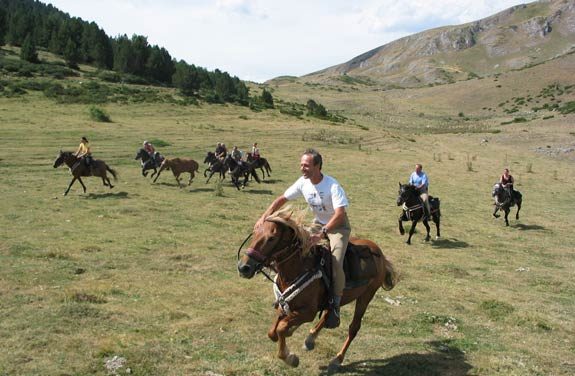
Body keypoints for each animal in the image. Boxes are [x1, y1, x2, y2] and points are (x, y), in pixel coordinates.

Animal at [237, 210, 396, 368]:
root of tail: (381, 256)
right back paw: (310, 338)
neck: (299, 268)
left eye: (271, 238)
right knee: (327, 314)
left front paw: (291, 358)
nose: (244, 267)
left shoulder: (308, 312)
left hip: (366, 296)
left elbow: (281, 328)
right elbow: (272, 333)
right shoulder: (285, 305)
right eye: (255, 232)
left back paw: (337, 359)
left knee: (353, 327)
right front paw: (290, 335)